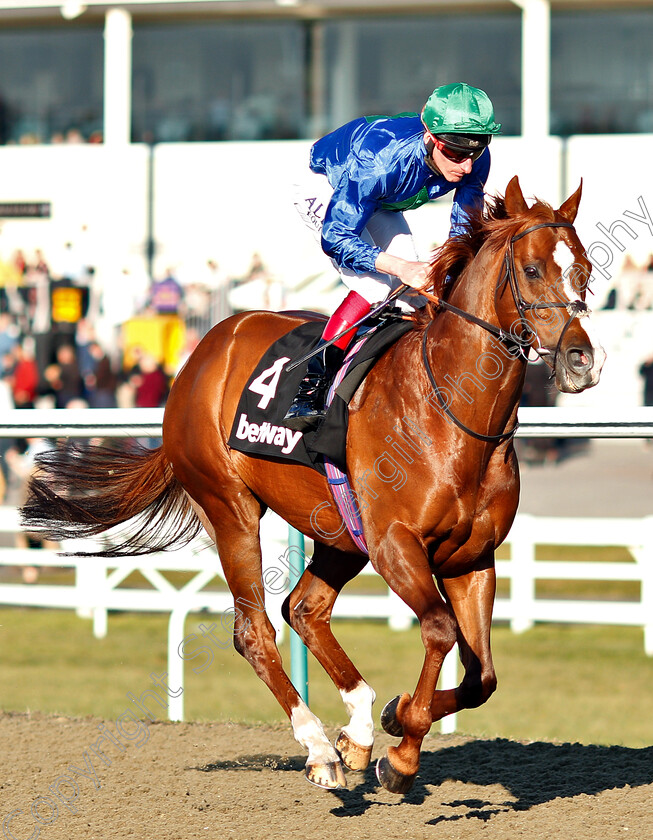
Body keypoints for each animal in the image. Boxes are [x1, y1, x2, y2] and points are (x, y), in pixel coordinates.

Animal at [24, 177, 608, 796]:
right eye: (533, 270)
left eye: (585, 268)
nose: (581, 360)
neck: (452, 412)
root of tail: (203, 350)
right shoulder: (395, 543)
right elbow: (439, 628)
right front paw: (402, 753)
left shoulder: (472, 557)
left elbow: (483, 676)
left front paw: (394, 717)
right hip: (231, 506)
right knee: (254, 630)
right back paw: (320, 746)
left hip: (337, 530)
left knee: (304, 608)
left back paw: (357, 727)